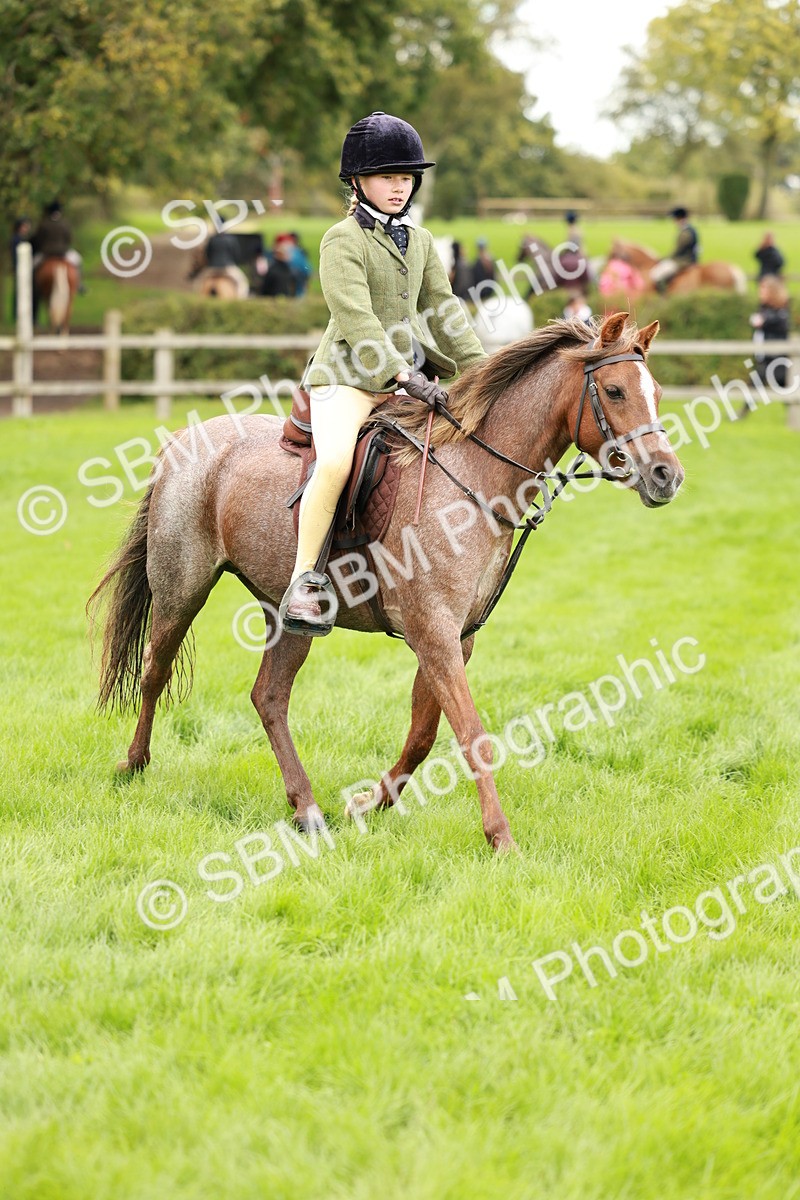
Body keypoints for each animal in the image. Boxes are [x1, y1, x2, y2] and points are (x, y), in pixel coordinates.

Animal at [88, 311, 684, 853]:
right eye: (614, 391)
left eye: (655, 391)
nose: (667, 476)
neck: (473, 479)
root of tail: (182, 440)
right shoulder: (433, 633)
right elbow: (472, 736)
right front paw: (502, 839)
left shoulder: (455, 637)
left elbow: (423, 735)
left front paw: (367, 803)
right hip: (181, 589)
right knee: (155, 671)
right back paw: (133, 765)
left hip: (286, 614)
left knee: (269, 697)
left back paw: (307, 810)